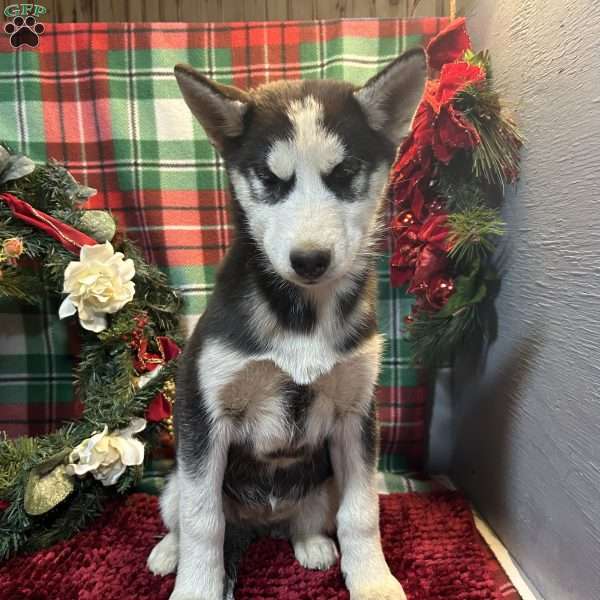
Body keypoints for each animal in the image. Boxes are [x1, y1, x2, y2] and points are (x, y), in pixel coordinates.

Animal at [145, 48, 426, 600]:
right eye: (270, 180)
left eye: (345, 171)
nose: (310, 260)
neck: (303, 313)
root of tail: (259, 524)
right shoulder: (203, 413)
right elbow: (203, 521)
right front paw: (196, 586)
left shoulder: (357, 413)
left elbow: (363, 512)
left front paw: (373, 580)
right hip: (177, 478)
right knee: (183, 517)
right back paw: (169, 552)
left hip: (322, 483)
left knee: (311, 517)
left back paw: (310, 543)